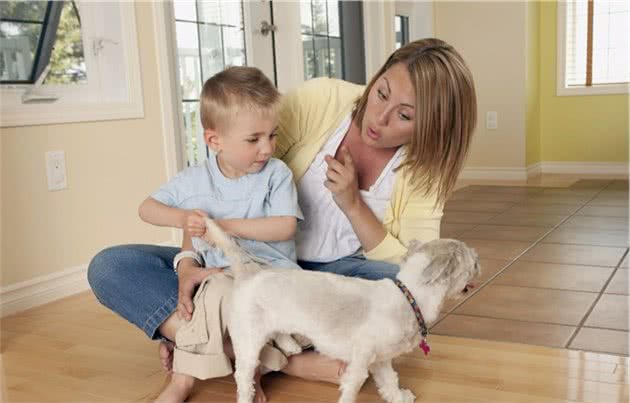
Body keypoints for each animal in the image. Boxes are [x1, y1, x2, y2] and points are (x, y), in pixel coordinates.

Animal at [205, 221, 482, 403]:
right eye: (472, 261)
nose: (480, 260)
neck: (409, 296)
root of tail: (249, 272)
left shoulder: (381, 360)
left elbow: (390, 381)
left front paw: (399, 397)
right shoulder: (360, 363)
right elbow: (351, 390)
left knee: (278, 334)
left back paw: (291, 345)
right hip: (249, 340)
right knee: (243, 376)